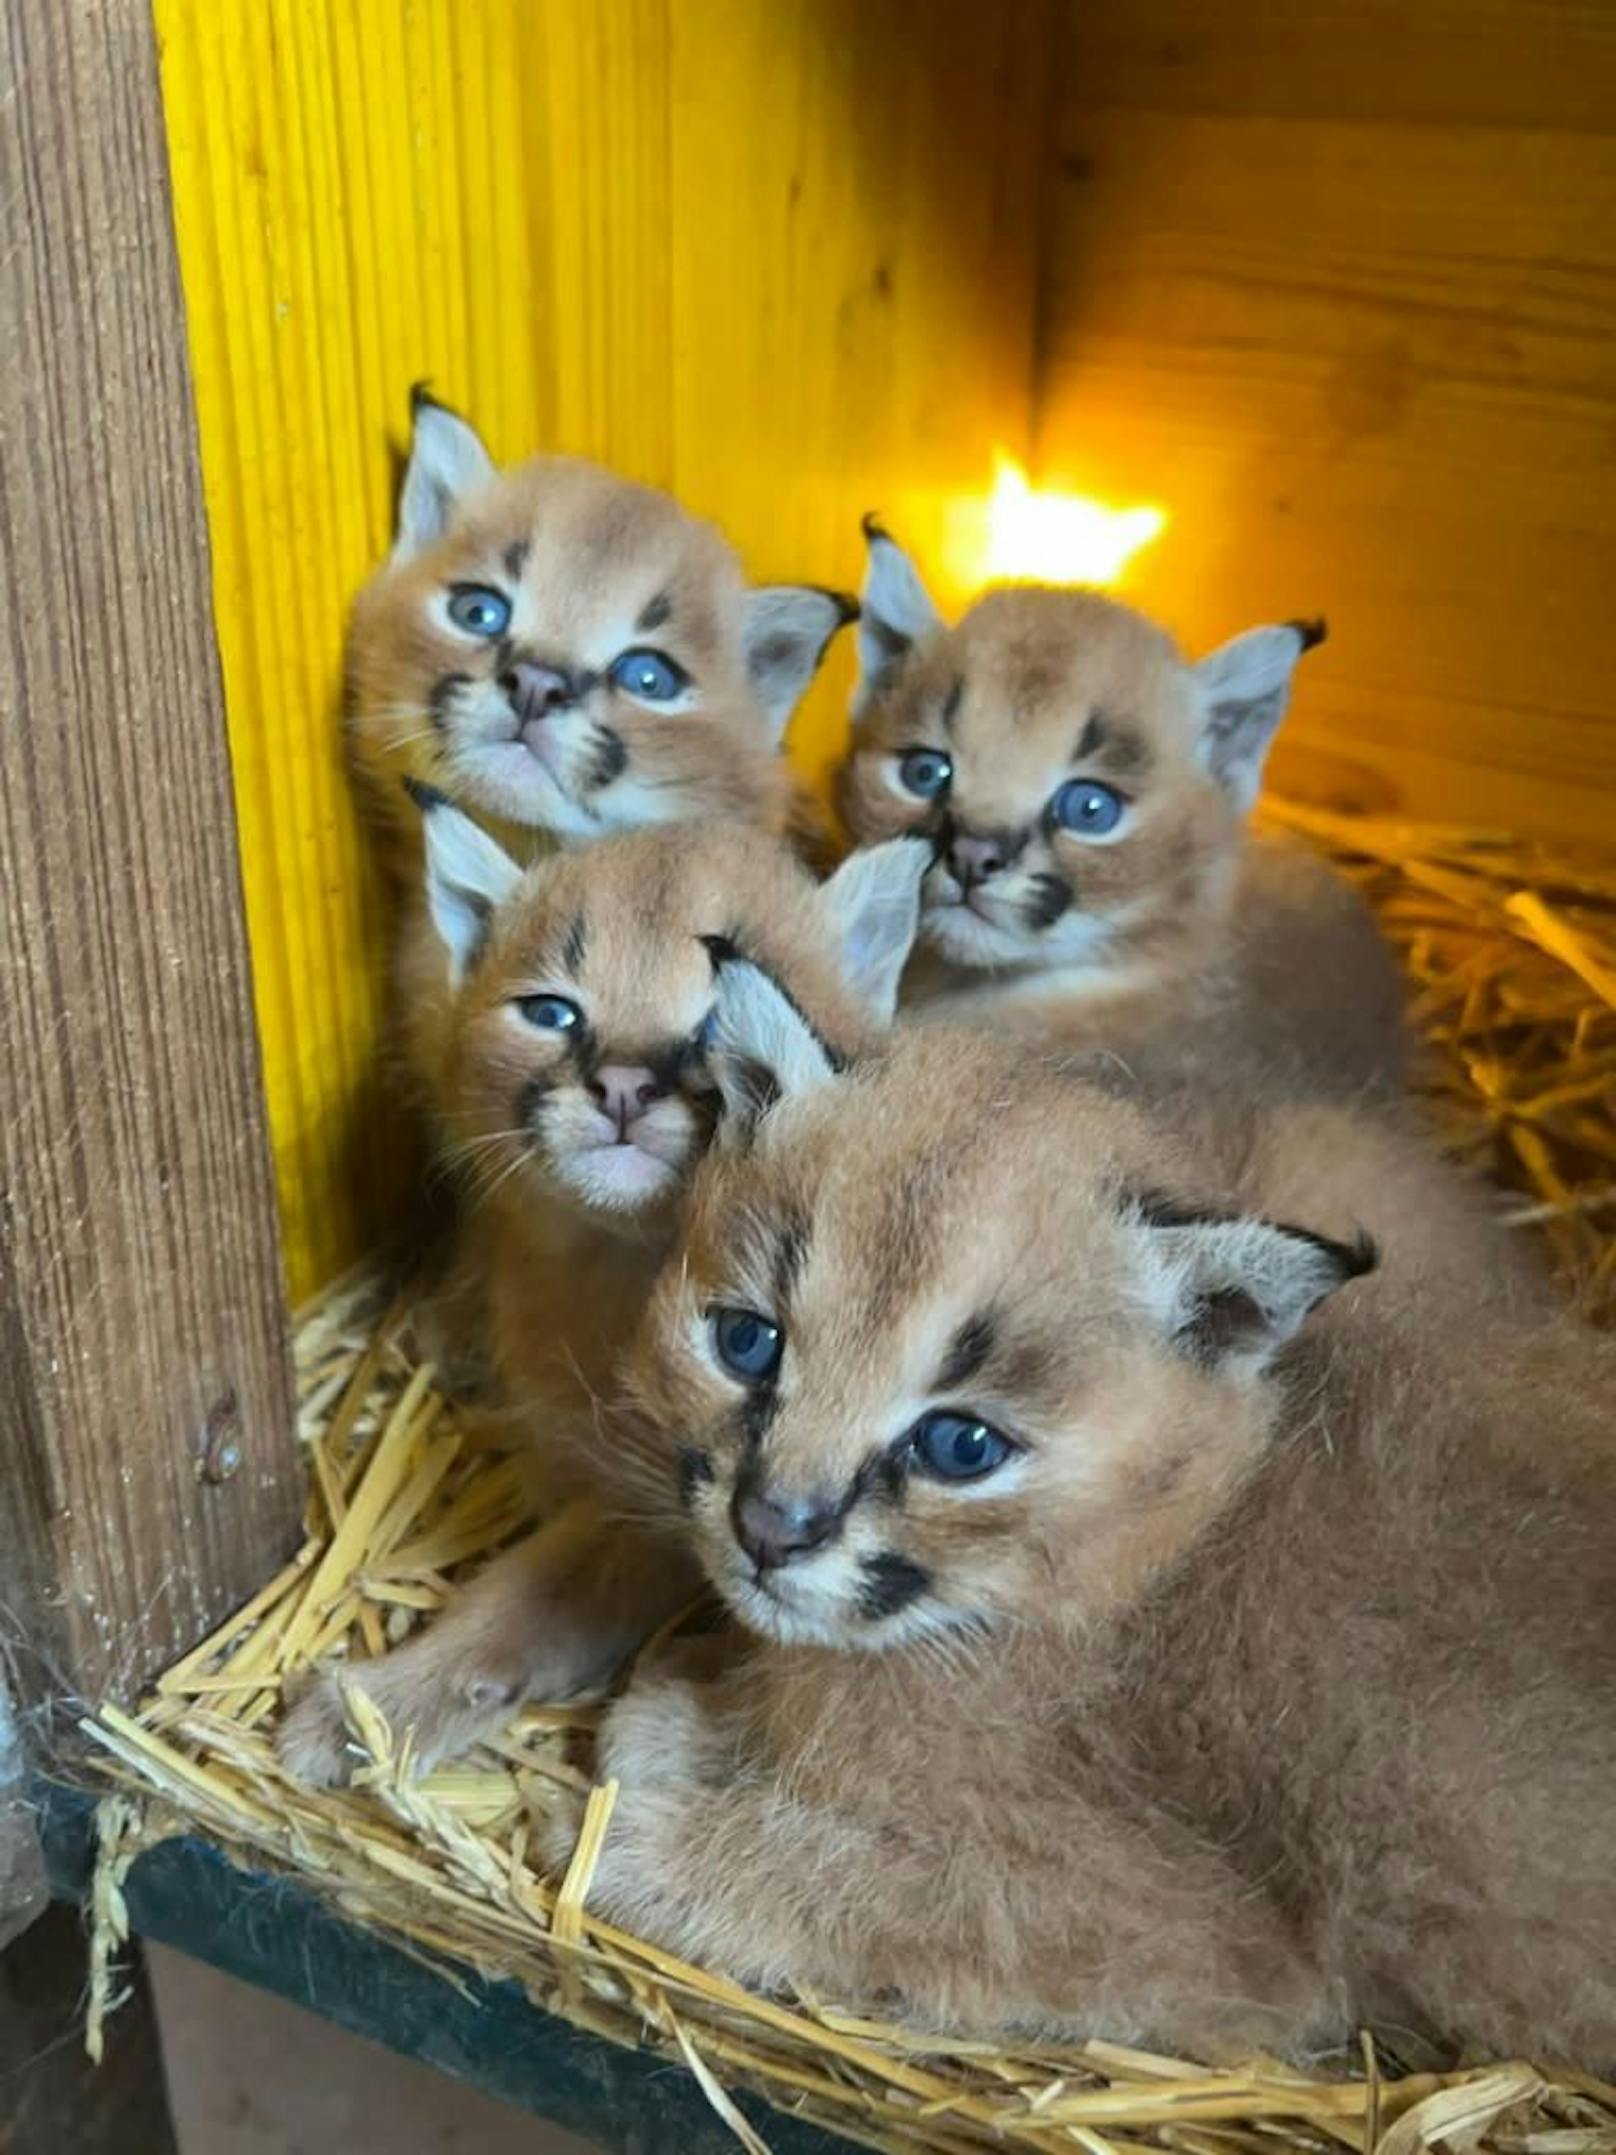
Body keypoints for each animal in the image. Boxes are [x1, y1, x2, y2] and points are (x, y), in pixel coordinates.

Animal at [284, 810, 930, 1784]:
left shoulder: (680, 1520)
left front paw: (372, 1706)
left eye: (717, 1018)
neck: (615, 1277)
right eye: (552, 1011)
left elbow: (528, 1596)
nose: (623, 1085)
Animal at [547, 974, 1616, 2051]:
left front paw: (636, 1836)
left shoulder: (1216, 1940)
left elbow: (908, 1894)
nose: (770, 1526)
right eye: (747, 1342)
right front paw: (692, 1718)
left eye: (961, 1446)